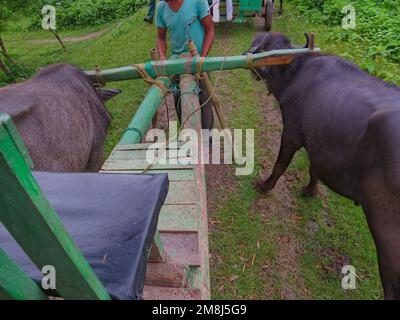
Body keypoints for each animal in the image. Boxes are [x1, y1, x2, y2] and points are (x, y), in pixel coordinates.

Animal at [247, 31, 400, 298]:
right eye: (260, 42)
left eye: (264, 47)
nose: (253, 62)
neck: (295, 71)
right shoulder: (318, 143)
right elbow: (314, 168)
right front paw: (311, 190)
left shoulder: (292, 133)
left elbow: (280, 164)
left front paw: (265, 186)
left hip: (388, 236)